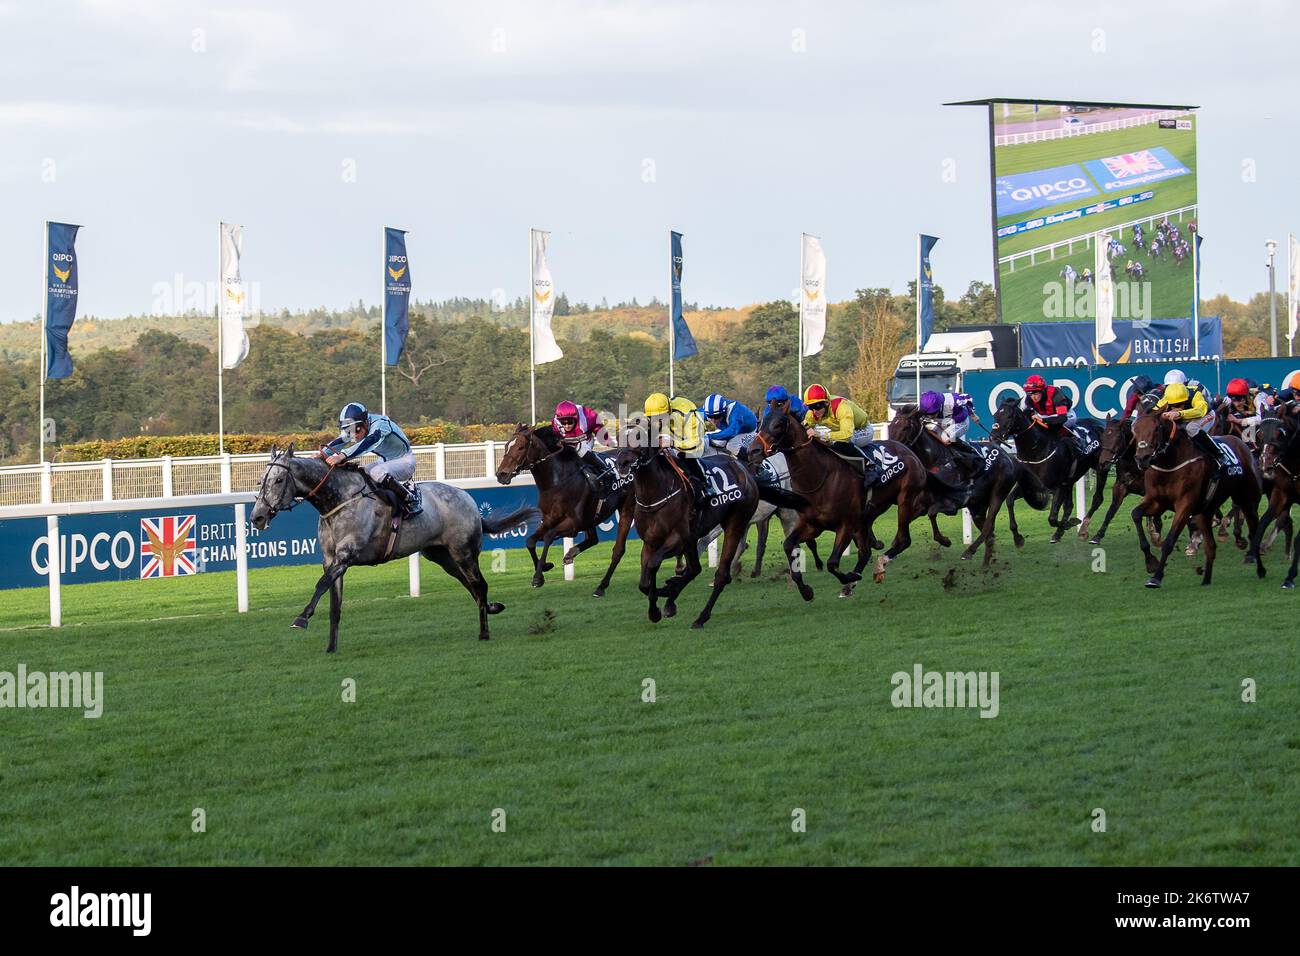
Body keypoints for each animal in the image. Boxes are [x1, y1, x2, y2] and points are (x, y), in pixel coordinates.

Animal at [248, 447, 538, 655]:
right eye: (262, 480)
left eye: (279, 479)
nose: (257, 517)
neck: (339, 499)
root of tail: (469, 500)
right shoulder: (331, 561)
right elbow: (334, 605)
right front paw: (331, 647)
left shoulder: (346, 556)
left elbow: (320, 585)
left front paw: (302, 618)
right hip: (441, 556)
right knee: (471, 586)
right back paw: (491, 608)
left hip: (463, 552)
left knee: (479, 585)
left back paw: (484, 632)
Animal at [491, 421, 634, 595]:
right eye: (506, 446)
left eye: (520, 447)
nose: (501, 474)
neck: (556, 483)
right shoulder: (548, 520)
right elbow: (530, 541)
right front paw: (545, 567)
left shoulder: (573, 524)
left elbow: (548, 536)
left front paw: (538, 577)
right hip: (590, 518)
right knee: (593, 539)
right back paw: (571, 554)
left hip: (626, 508)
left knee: (618, 549)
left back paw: (600, 585)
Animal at [993, 395, 1107, 546]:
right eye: (995, 415)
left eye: (1009, 416)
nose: (993, 436)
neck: (1037, 450)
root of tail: (1100, 424)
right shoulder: (1030, 486)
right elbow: (1009, 500)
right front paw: (1017, 537)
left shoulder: (1057, 486)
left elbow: (1052, 518)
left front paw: (1071, 523)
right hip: (1070, 480)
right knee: (1069, 506)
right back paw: (1058, 534)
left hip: (1101, 468)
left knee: (1097, 499)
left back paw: (1085, 530)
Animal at [1123, 408, 1263, 587]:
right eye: (1134, 431)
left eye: (1156, 428)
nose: (1142, 458)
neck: (1170, 463)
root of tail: (1242, 444)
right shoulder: (1156, 502)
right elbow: (1135, 514)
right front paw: (1150, 562)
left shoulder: (1185, 505)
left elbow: (1169, 541)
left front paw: (1156, 577)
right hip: (1205, 511)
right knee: (1211, 546)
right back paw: (1206, 580)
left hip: (1248, 501)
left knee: (1254, 532)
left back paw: (1260, 568)